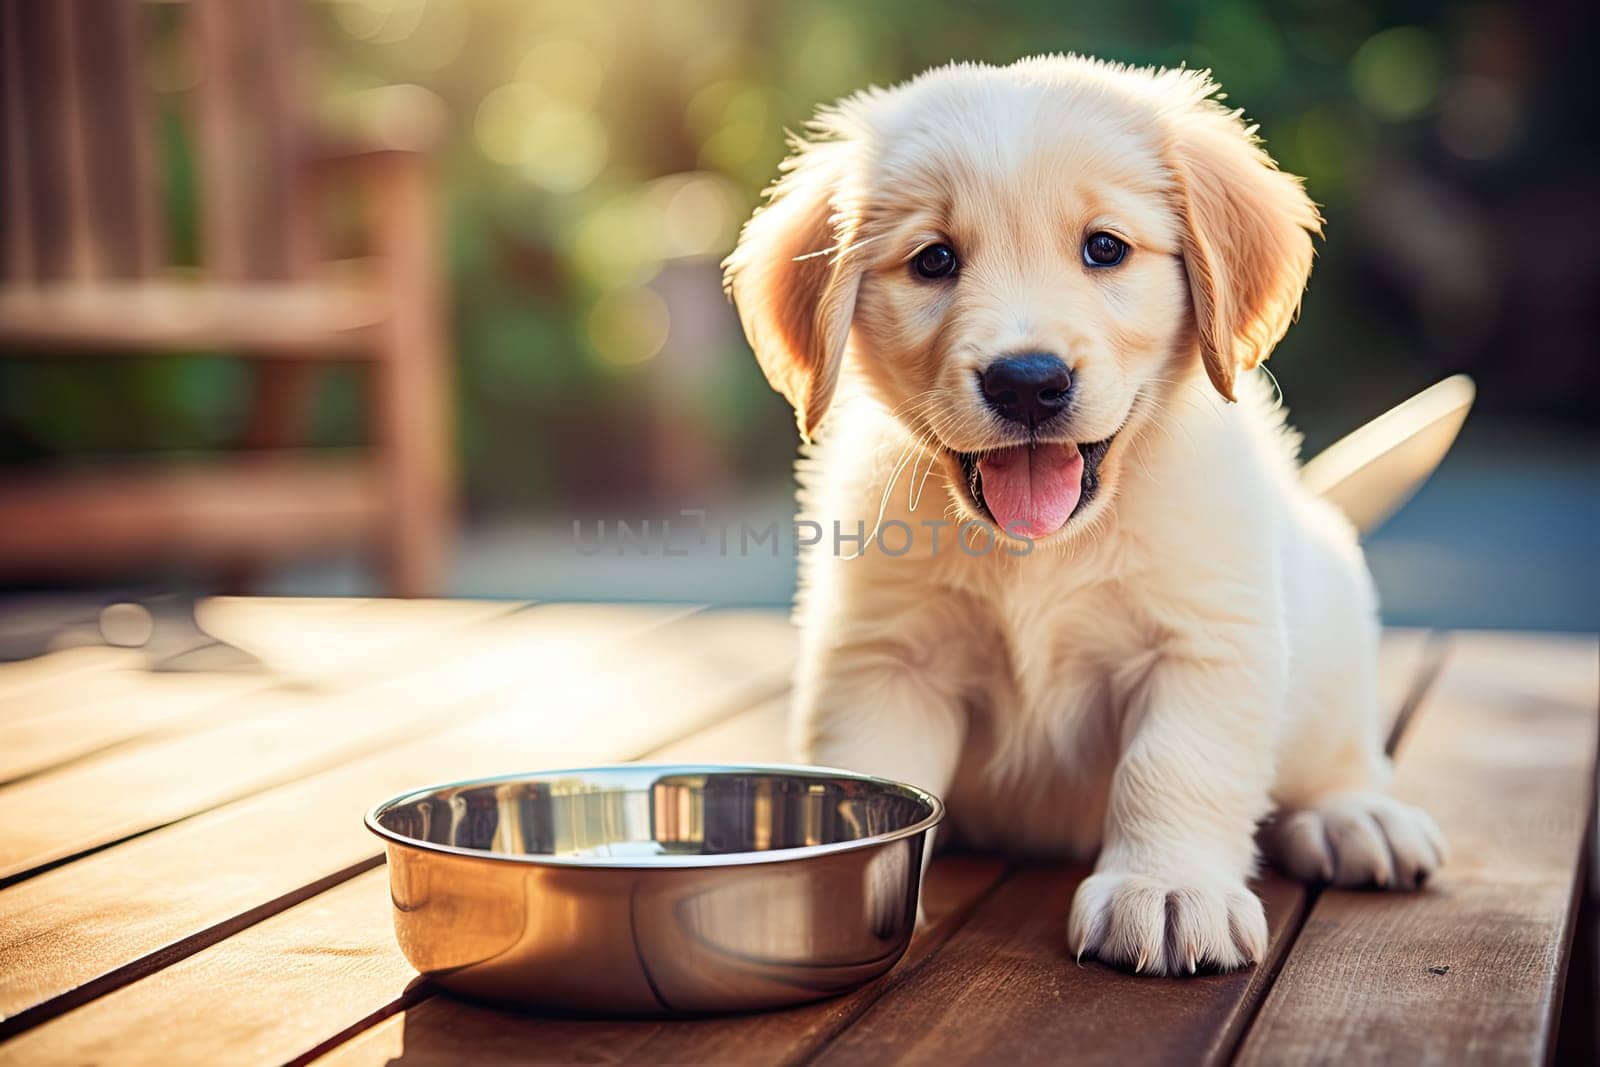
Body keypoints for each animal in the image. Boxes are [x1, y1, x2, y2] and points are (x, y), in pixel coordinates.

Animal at [720, 56, 1446, 979]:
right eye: (934, 260)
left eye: (1105, 248)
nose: (1027, 382)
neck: (1041, 549)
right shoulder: (885, 657)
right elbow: (870, 770)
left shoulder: (1206, 639)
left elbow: (1175, 764)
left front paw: (1169, 888)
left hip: (1331, 631)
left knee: (1340, 752)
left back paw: (1354, 815)